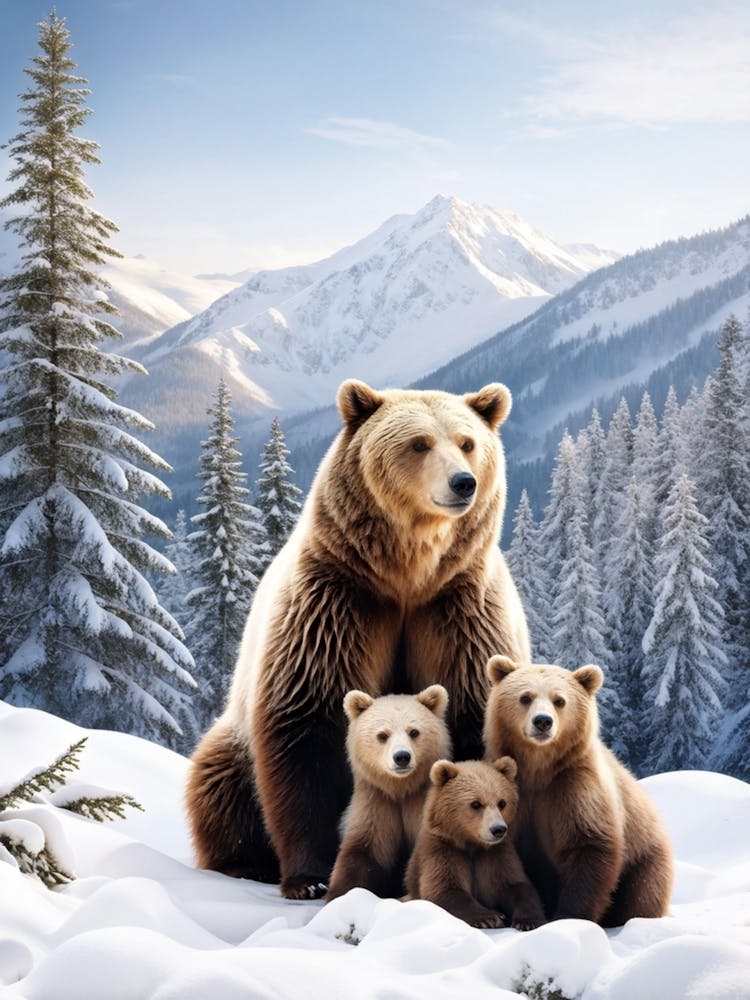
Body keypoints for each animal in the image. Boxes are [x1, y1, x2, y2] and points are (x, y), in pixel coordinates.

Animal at [325, 685, 451, 903]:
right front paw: (341, 895)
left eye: (414, 731)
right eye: (382, 735)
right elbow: (364, 851)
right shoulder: (376, 802)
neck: (400, 788)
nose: (402, 757)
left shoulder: (421, 801)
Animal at [406, 757, 546, 930]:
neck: (471, 844)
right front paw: (489, 918)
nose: (498, 829)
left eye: (502, 802)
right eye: (476, 804)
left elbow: (516, 886)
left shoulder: (495, 855)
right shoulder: (443, 850)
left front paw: (529, 921)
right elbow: (445, 889)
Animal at [483, 655, 674, 927]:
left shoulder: (576, 787)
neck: (538, 770)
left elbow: (588, 844)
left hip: (644, 856)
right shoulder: (514, 793)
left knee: (643, 892)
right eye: (525, 697)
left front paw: (568, 917)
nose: (543, 721)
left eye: (559, 700)